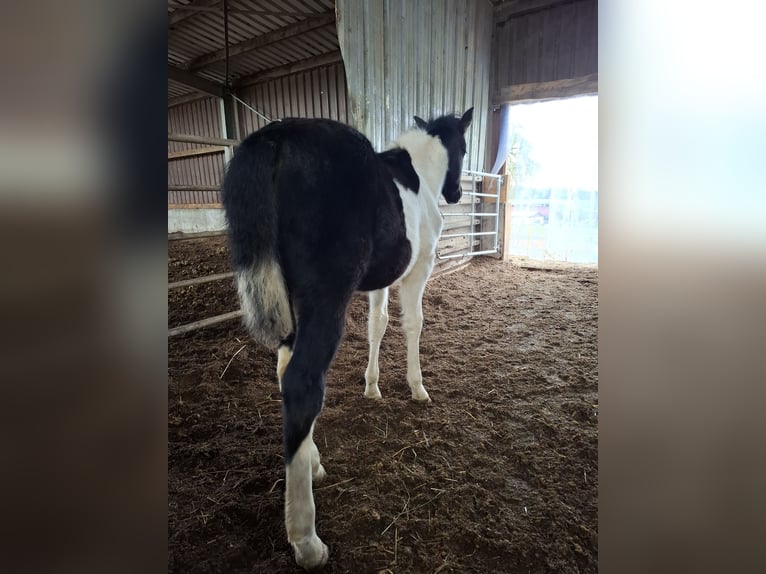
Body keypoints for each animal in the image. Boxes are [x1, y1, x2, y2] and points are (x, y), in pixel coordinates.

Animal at [220, 108, 474, 572]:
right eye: (463, 147)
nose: (455, 192)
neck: (419, 173)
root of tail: (275, 139)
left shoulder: (381, 281)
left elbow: (379, 324)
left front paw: (372, 387)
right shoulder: (417, 271)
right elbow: (413, 324)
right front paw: (417, 387)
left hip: (292, 302)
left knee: (284, 371)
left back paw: (313, 462)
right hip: (326, 297)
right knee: (302, 384)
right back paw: (306, 539)